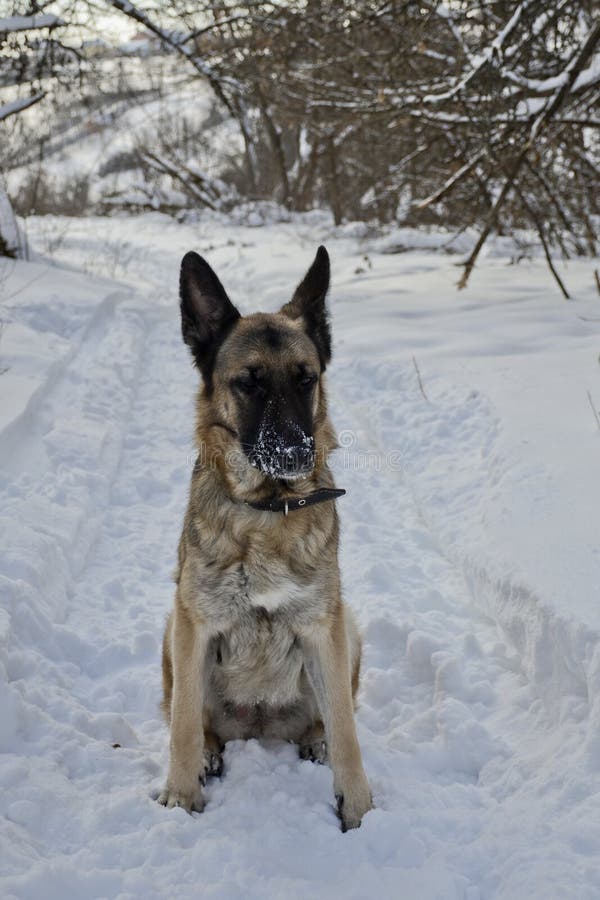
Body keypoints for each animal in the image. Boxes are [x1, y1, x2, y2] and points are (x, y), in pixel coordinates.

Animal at [158, 244, 376, 828]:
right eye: (249, 382)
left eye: (306, 379)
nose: (296, 451)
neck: (267, 512)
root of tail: (257, 724)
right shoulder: (194, 624)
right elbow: (182, 725)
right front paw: (180, 797)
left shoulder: (324, 628)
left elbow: (347, 732)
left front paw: (360, 810)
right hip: (171, 630)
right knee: (193, 718)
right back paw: (210, 751)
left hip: (349, 625)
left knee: (329, 716)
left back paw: (315, 738)